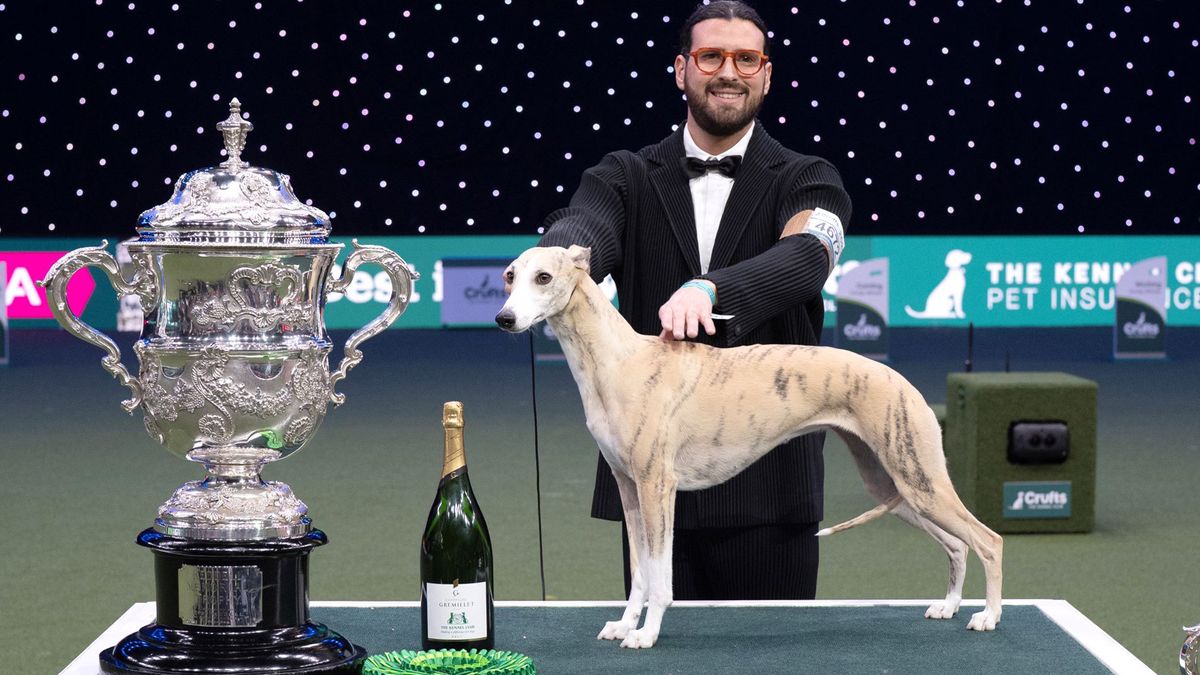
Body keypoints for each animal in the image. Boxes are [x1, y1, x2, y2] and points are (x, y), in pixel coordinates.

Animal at [494, 243, 1003, 643]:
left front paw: (647, 633)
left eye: (544, 277)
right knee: (957, 546)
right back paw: (949, 605)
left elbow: (660, 575)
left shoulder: (658, 485)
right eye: (510, 276)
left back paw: (988, 615)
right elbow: (639, 571)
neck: (620, 361)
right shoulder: (628, 488)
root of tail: (903, 382)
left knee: (988, 540)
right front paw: (624, 624)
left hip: (921, 480)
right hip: (894, 486)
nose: (504, 318)